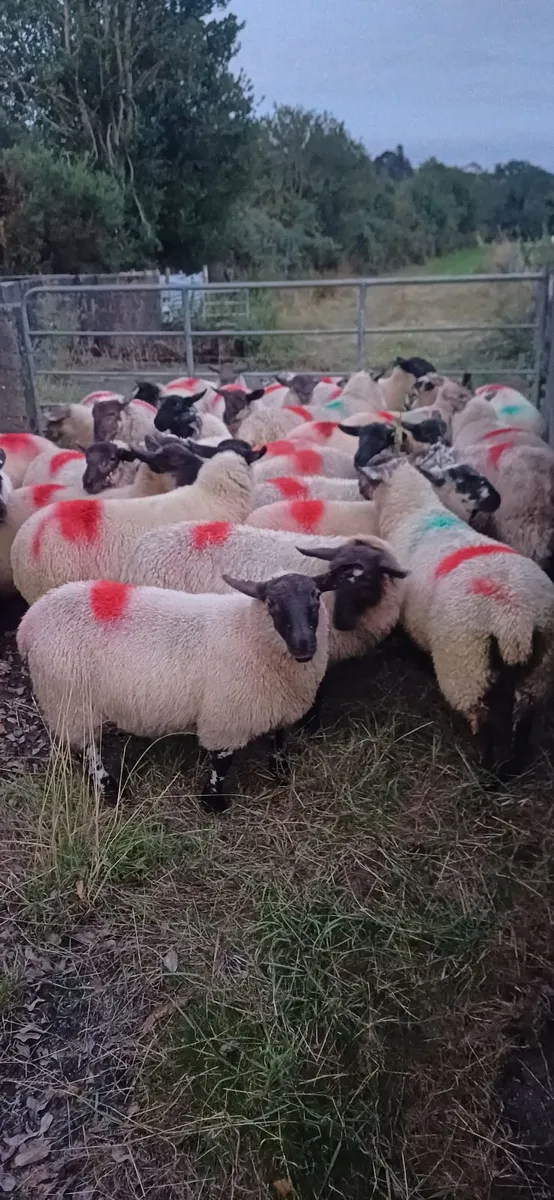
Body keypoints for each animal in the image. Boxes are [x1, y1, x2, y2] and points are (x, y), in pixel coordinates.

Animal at [17, 570, 333, 810]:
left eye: (317, 597)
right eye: (271, 603)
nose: (304, 646)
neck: (248, 631)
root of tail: (29, 621)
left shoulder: (277, 705)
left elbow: (280, 740)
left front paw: (281, 773)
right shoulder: (225, 717)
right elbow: (222, 763)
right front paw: (213, 803)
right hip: (70, 699)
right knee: (88, 750)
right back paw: (109, 789)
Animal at [358, 453, 554, 775]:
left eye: (366, 477)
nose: (358, 489)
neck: (413, 512)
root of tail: (514, 620)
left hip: (466, 666)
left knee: (486, 722)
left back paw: (488, 772)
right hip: (538, 669)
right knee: (525, 718)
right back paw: (513, 767)